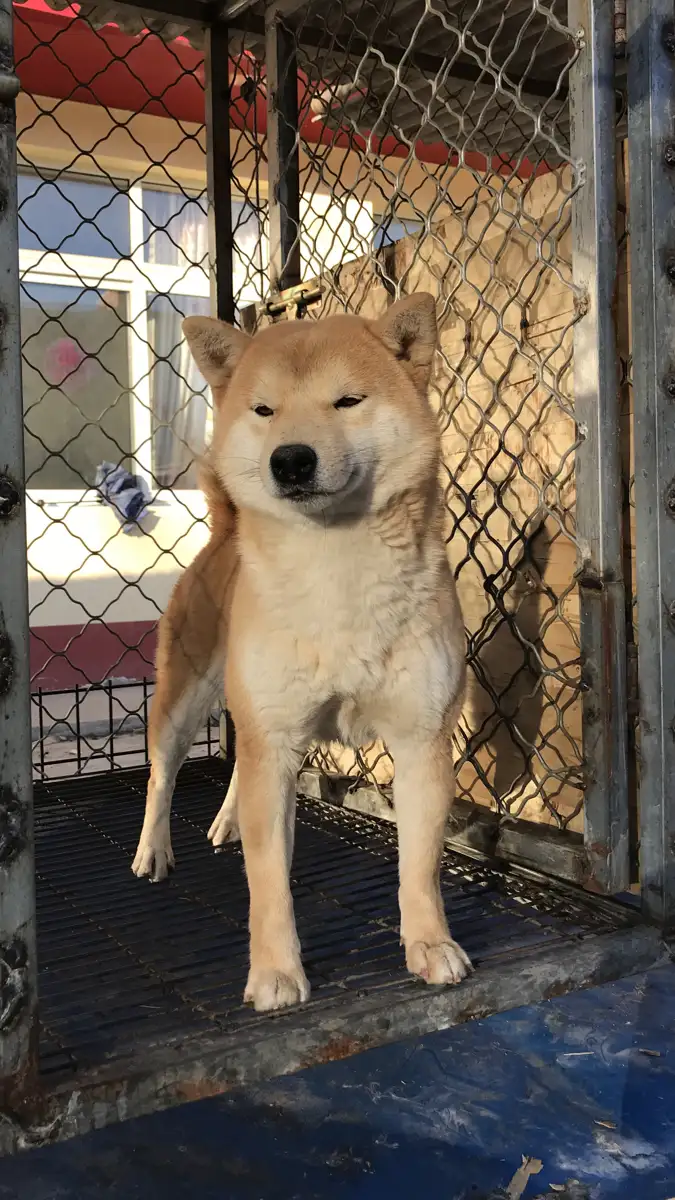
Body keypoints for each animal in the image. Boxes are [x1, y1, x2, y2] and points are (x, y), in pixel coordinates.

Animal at [130, 295, 468, 1008]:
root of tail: (224, 532)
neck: (336, 576)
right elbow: (268, 883)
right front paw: (276, 973)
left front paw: (430, 945)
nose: (289, 459)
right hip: (185, 697)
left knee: (240, 766)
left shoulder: (419, 739)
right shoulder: (274, 735)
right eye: (264, 410)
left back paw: (228, 818)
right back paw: (153, 850)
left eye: (347, 400)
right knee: (162, 773)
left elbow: (419, 866)